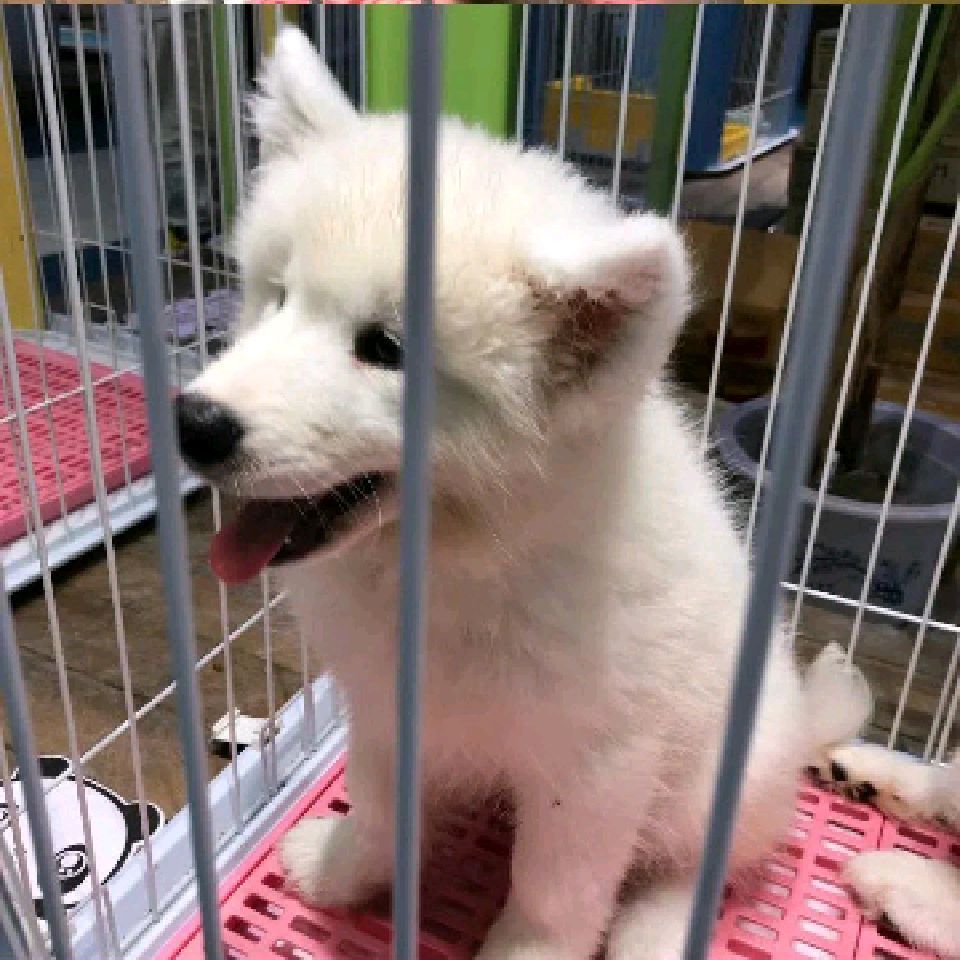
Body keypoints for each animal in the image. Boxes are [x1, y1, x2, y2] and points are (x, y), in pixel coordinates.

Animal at [175, 28, 872, 960]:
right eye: (277, 297)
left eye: (386, 348)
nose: (195, 423)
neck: (454, 561)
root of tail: (802, 733)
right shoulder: (385, 709)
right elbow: (379, 808)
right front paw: (345, 871)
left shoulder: (596, 763)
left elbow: (555, 891)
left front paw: (526, 944)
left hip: (717, 777)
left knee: (695, 863)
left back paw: (655, 927)